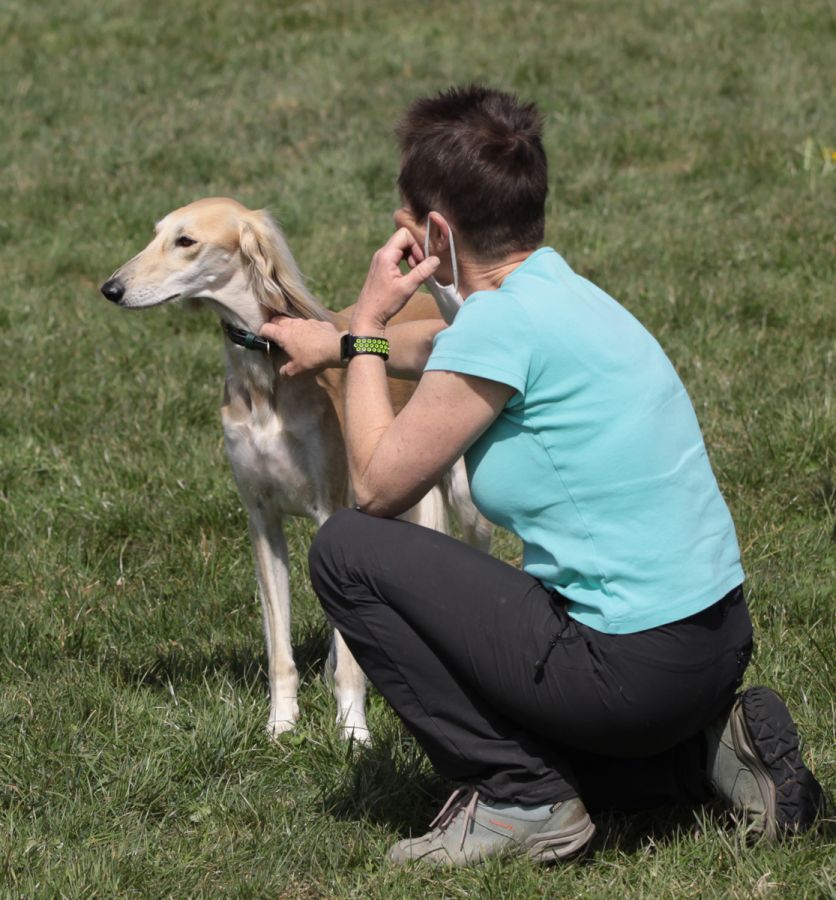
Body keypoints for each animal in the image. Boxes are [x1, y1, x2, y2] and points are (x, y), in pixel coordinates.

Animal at [100, 197, 491, 741]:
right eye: (155, 234)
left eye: (186, 241)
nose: (111, 288)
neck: (265, 381)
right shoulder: (261, 518)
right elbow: (279, 647)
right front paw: (281, 724)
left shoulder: (332, 508)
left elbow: (350, 661)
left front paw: (353, 731)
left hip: (459, 499)